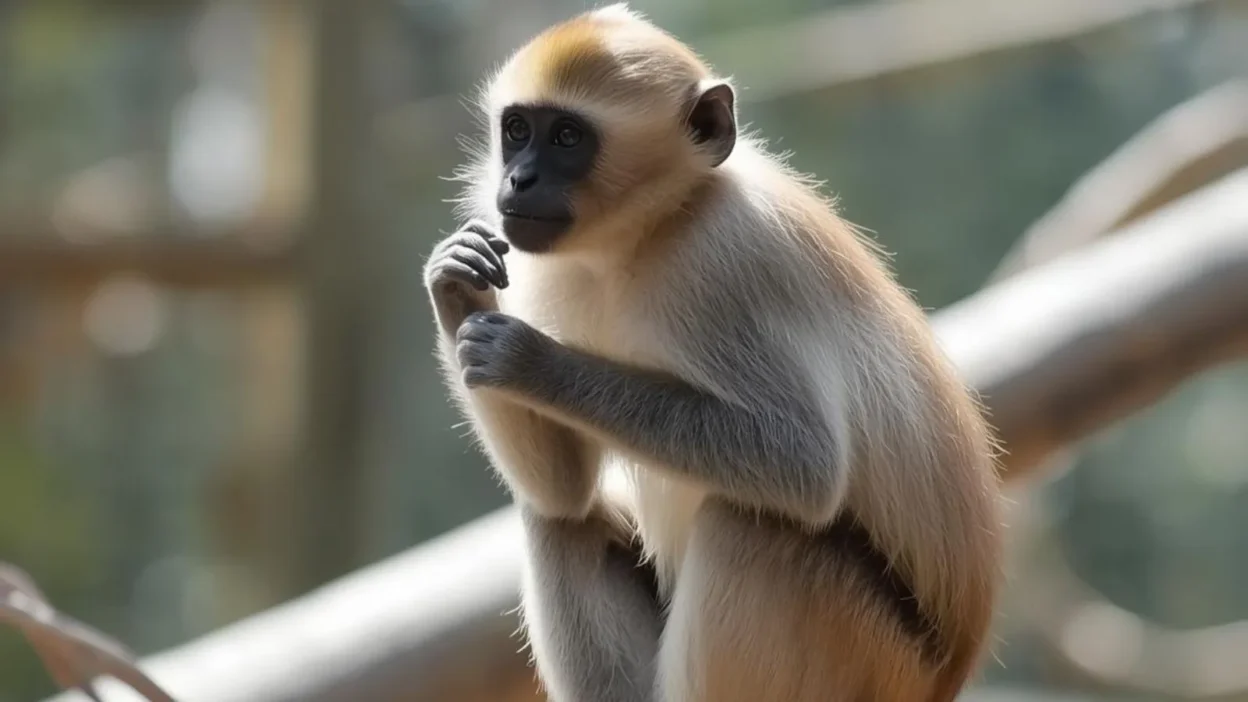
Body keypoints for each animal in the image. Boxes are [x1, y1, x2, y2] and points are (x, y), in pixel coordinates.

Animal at [423, 4, 1004, 701]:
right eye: (516, 131)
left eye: (566, 137)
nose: (518, 179)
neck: (652, 232)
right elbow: (562, 493)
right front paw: (456, 284)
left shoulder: (724, 261)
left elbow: (805, 463)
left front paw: (529, 361)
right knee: (563, 520)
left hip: (865, 653)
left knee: (750, 521)